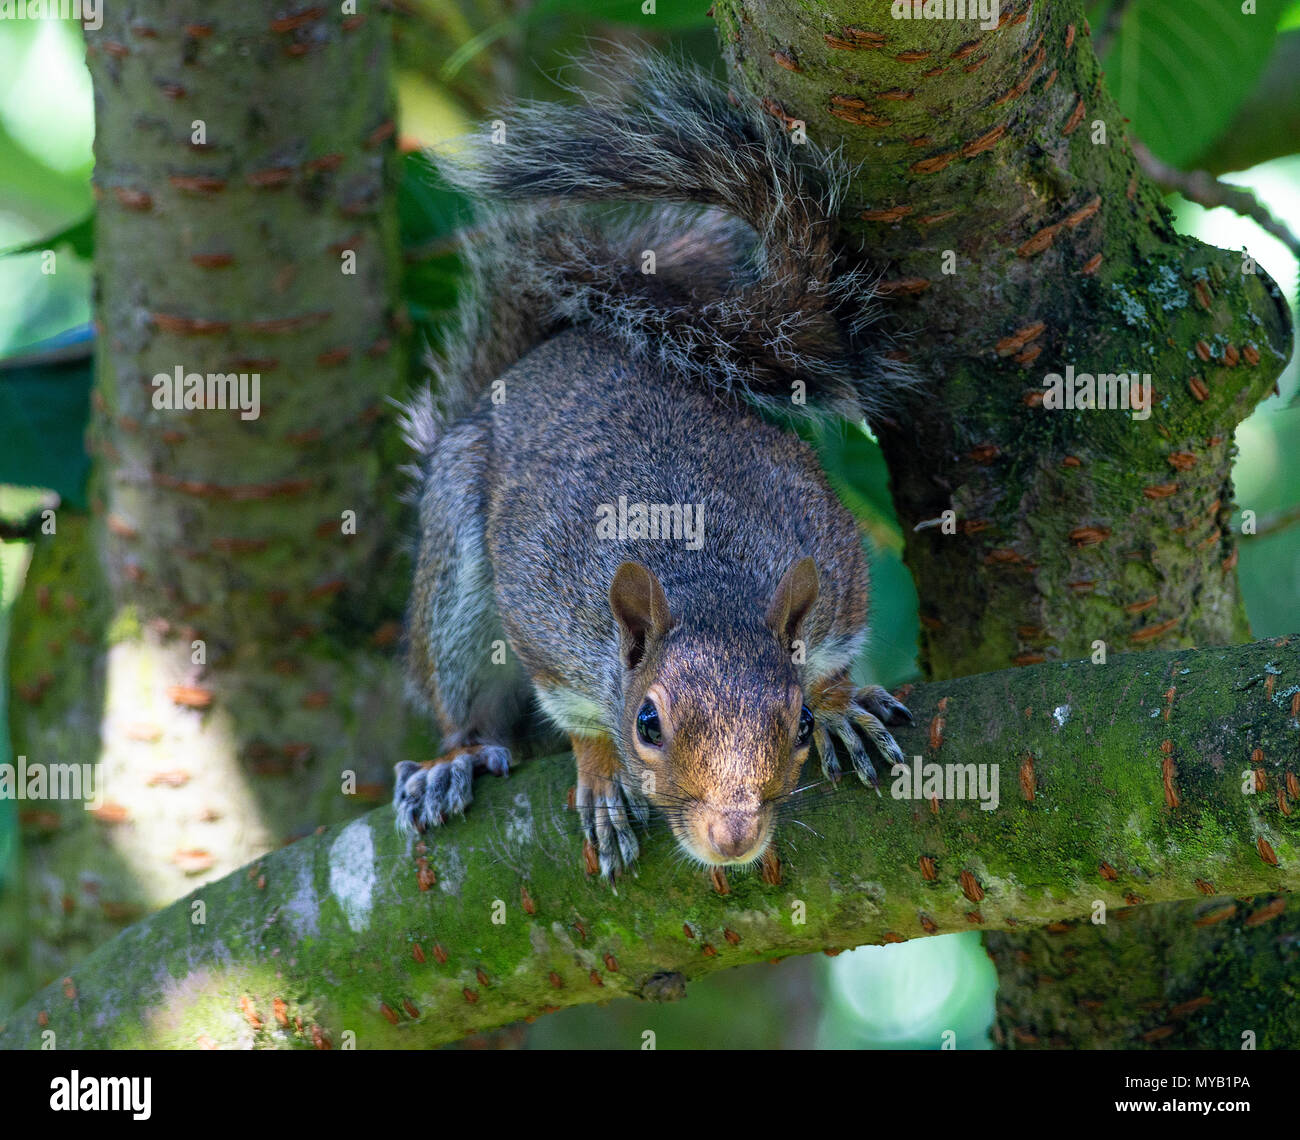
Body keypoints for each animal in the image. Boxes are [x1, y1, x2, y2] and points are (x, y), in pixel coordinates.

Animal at [395, 49, 915, 878]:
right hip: (450, 576)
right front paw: (602, 775)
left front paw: (844, 708)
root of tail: (547, 355)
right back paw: (459, 758)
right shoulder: (546, 616)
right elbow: (575, 714)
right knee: (461, 698)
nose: (731, 837)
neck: (711, 578)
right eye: (646, 723)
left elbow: (834, 655)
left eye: (797, 724)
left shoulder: (833, 565)